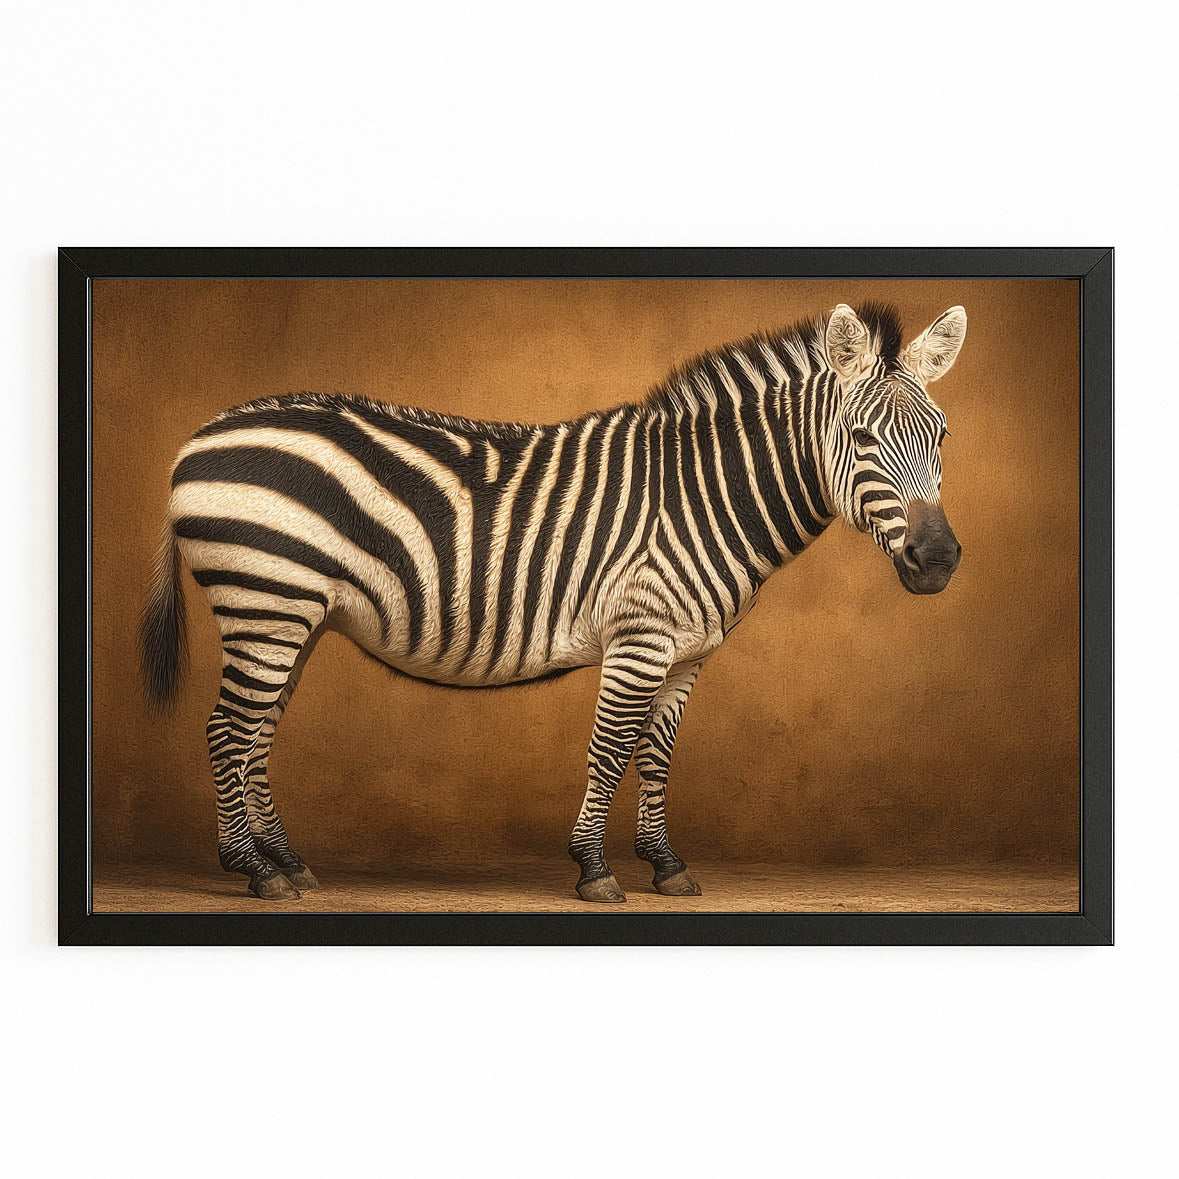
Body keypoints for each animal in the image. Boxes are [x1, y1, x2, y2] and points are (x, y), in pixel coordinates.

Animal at [140, 300, 966, 902]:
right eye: (859, 437)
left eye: (941, 436)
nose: (937, 560)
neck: (704, 493)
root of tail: (200, 435)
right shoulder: (639, 636)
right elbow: (611, 747)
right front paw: (593, 868)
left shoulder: (686, 651)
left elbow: (657, 754)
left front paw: (665, 864)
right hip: (265, 600)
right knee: (226, 731)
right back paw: (254, 871)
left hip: (294, 615)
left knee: (256, 735)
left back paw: (287, 861)